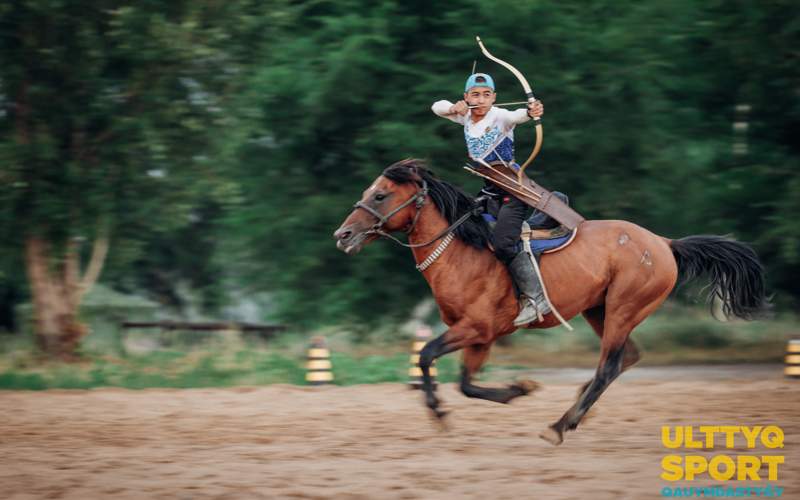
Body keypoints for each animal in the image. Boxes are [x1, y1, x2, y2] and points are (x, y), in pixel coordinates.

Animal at [332, 158, 768, 444]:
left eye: (381, 195)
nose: (343, 235)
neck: (461, 250)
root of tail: (663, 243)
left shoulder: (476, 328)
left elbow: (426, 357)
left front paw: (440, 411)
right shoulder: (480, 338)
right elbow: (466, 384)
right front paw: (517, 389)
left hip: (623, 309)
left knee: (610, 366)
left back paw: (560, 425)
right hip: (599, 310)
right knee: (626, 358)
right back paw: (577, 410)